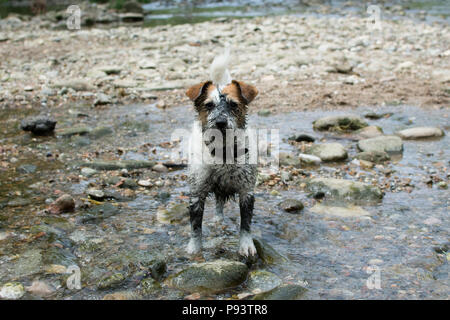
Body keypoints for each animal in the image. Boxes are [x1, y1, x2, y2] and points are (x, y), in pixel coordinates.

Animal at [185, 50, 258, 258]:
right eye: (209, 105)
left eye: (233, 105)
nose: (220, 122)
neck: (223, 151)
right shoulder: (197, 191)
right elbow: (195, 226)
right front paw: (195, 249)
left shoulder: (246, 191)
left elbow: (245, 224)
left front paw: (246, 245)